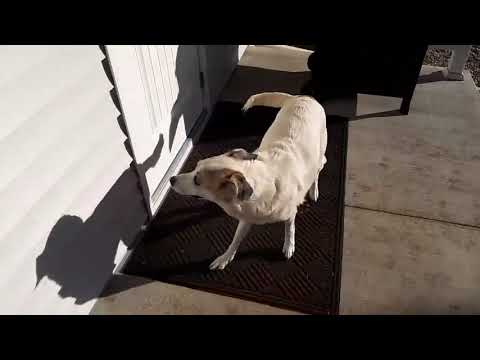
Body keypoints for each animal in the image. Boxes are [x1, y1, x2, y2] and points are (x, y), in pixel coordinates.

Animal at [169, 92, 326, 270]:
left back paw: (314, 190)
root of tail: (301, 97)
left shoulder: (290, 213)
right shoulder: (247, 217)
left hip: (320, 153)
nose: (171, 179)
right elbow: (236, 239)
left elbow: (289, 229)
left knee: (318, 169)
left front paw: (289, 245)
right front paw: (226, 257)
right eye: (195, 166)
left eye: (197, 180)